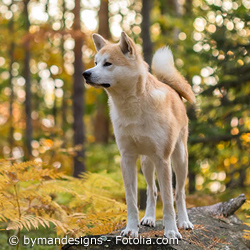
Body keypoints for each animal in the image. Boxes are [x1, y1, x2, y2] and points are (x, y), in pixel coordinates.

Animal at [83, 31, 194, 238]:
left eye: (107, 63)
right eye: (95, 62)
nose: (85, 74)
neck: (133, 108)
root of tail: (173, 90)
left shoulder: (163, 160)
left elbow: (169, 202)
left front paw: (171, 231)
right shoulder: (127, 158)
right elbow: (132, 201)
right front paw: (131, 229)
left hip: (179, 159)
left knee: (179, 193)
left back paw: (184, 221)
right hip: (146, 163)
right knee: (152, 190)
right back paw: (149, 218)